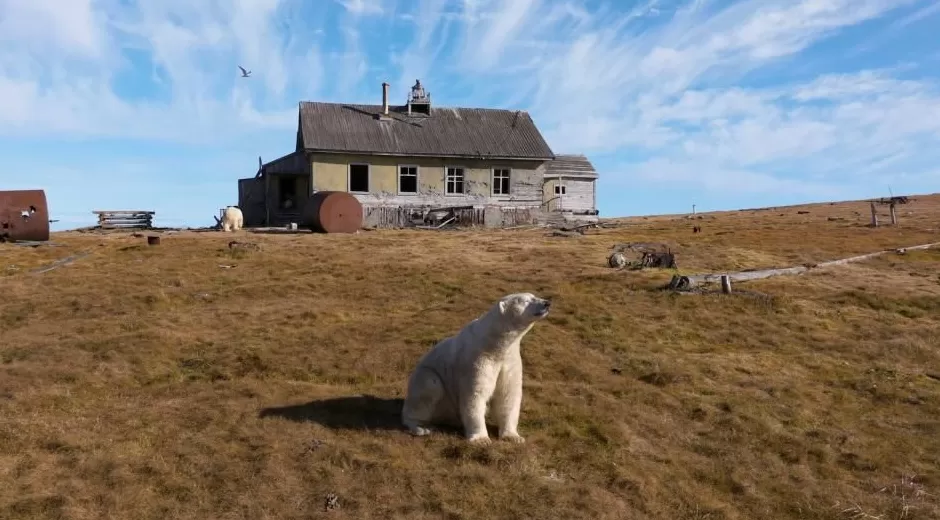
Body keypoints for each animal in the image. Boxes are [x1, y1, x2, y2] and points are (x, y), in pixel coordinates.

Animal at [401, 292, 552, 445]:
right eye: (526, 300)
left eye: (534, 296)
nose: (547, 303)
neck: (494, 343)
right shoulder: (476, 358)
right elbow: (475, 394)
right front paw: (481, 439)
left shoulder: (509, 358)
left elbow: (508, 393)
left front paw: (514, 436)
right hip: (425, 378)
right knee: (429, 389)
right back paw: (421, 427)